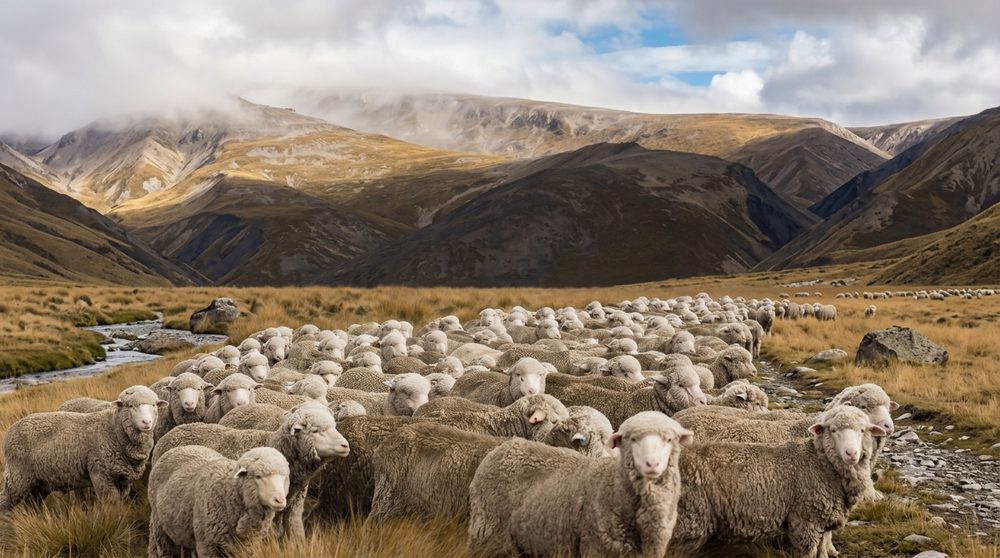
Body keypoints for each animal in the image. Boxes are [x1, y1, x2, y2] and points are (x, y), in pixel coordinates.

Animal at [0, 386, 166, 512]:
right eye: (130, 406)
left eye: (154, 405)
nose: (146, 422)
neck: (113, 429)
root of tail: (10, 431)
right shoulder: (100, 472)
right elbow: (111, 503)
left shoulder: (123, 479)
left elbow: (122, 500)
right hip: (18, 477)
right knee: (5, 502)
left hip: (39, 483)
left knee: (33, 504)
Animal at [147, 446, 290, 557]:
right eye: (258, 476)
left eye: (284, 476)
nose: (280, 500)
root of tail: (180, 447)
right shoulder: (207, 546)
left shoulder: (248, 547)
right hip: (159, 527)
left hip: (183, 529)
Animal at [152, 402, 349, 539]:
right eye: (315, 431)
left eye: (334, 425)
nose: (345, 445)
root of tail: (173, 432)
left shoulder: (293, 507)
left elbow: (295, 533)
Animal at [467, 412, 692, 557]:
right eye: (632, 439)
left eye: (670, 439)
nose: (651, 463)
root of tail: (508, 446)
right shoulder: (596, 547)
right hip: (488, 532)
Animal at [667, 406, 887, 557]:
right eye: (832, 430)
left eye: (862, 430)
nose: (852, 453)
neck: (820, 462)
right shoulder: (805, 520)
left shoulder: (821, 520)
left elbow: (822, 549)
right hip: (688, 523)